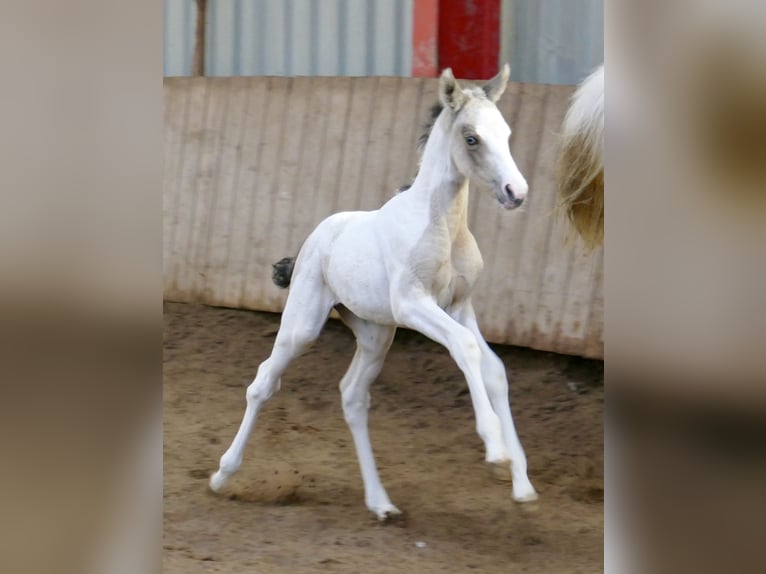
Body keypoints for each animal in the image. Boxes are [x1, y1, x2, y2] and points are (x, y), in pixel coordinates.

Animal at [209, 64, 538, 520]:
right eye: (472, 138)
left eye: (506, 133)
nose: (516, 193)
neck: (442, 227)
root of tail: (313, 237)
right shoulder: (414, 304)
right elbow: (466, 348)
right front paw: (496, 451)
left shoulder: (459, 306)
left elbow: (493, 368)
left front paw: (522, 483)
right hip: (303, 326)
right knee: (263, 383)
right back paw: (222, 475)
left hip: (375, 333)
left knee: (352, 396)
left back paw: (380, 503)